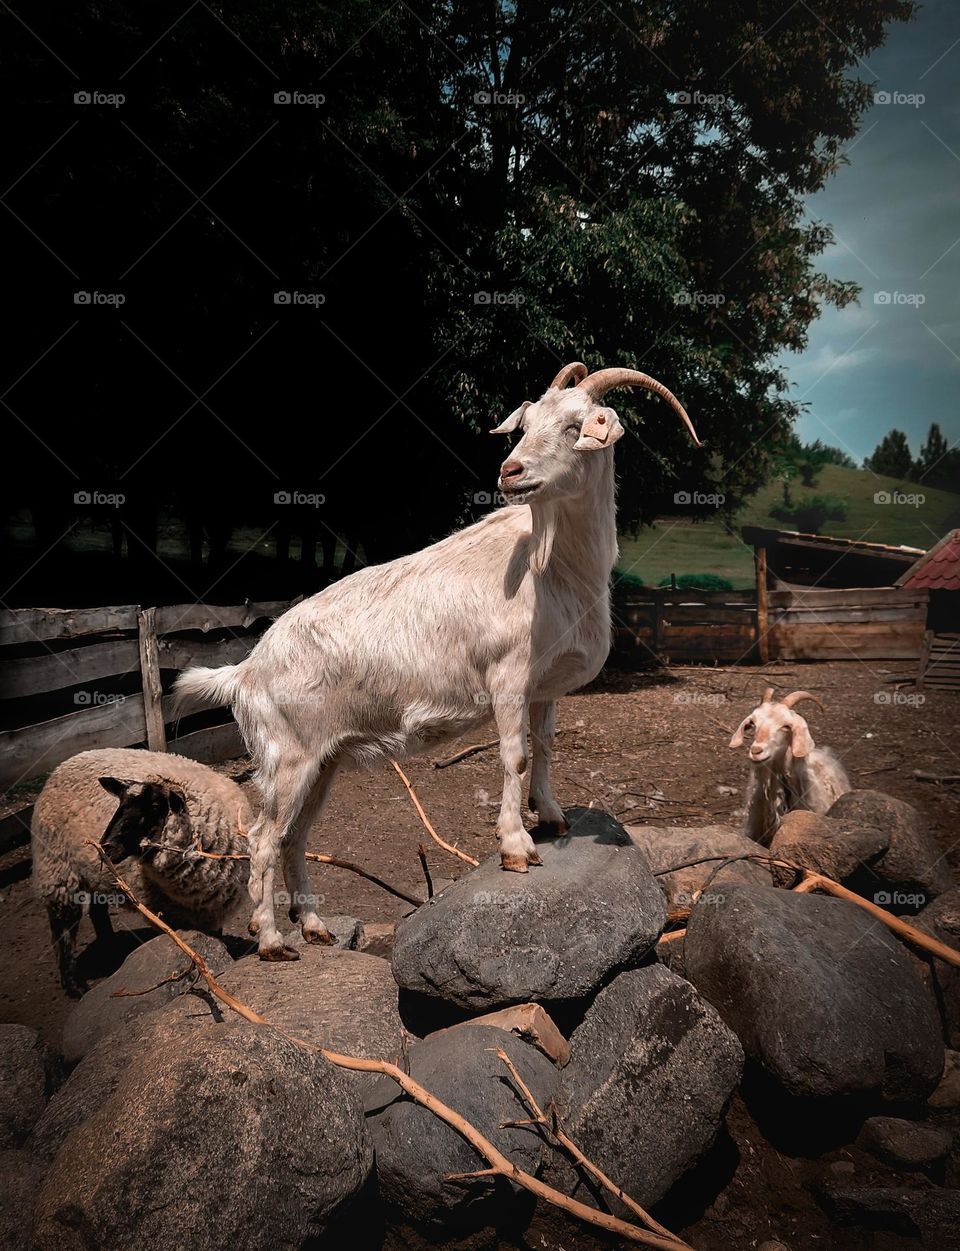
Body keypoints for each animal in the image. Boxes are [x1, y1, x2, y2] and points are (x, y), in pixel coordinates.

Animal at [173, 362, 702, 960]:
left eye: (574, 426)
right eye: (526, 425)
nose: (510, 471)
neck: (553, 568)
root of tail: (244, 673)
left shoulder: (544, 687)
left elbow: (544, 748)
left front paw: (552, 817)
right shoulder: (507, 677)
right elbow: (515, 756)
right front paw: (516, 847)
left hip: (322, 760)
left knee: (294, 836)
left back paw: (313, 926)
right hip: (287, 755)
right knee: (263, 837)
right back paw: (270, 940)